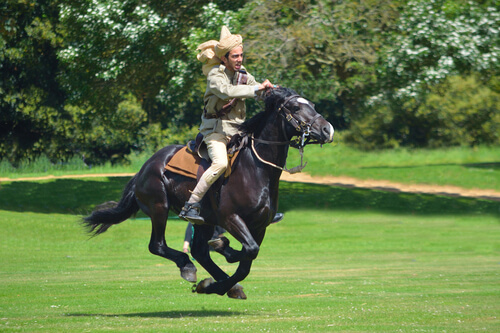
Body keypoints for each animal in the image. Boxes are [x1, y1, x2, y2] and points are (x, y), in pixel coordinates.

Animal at [83, 87, 332, 298]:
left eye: (312, 104)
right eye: (295, 108)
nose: (327, 129)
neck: (256, 168)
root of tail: (145, 167)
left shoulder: (259, 226)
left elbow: (247, 262)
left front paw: (220, 283)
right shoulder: (231, 218)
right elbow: (248, 251)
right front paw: (224, 249)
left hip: (203, 221)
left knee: (200, 251)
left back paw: (219, 283)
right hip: (159, 208)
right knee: (158, 245)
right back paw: (188, 266)